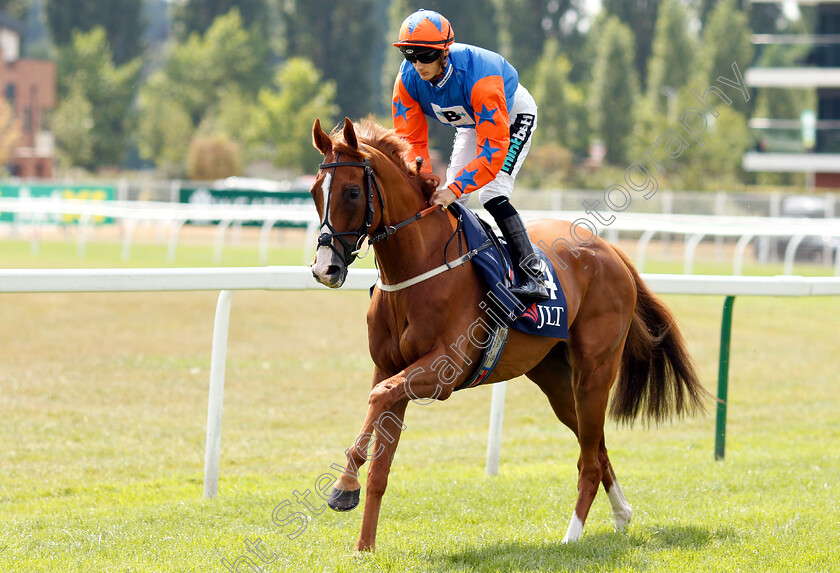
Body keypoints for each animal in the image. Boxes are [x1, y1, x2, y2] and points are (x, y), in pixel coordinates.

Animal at [308, 116, 708, 548]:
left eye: (351, 192)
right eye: (314, 192)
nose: (325, 268)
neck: (418, 268)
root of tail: (610, 251)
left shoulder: (441, 372)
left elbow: (378, 397)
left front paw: (343, 487)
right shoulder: (390, 367)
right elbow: (381, 457)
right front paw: (363, 546)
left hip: (595, 371)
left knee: (588, 460)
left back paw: (571, 537)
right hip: (556, 380)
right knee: (597, 447)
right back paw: (622, 514)